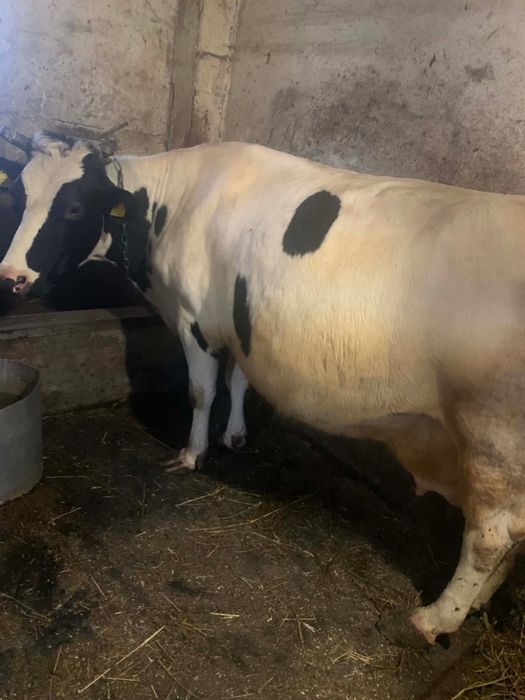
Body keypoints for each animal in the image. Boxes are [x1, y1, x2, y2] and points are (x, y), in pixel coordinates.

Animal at [1, 130, 524, 646]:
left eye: (73, 207)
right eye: (21, 195)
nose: (11, 278)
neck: (173, 204)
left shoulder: (195, 320)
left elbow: (201, 391)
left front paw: (192, 453)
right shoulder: (238, 325)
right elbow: (237, 380)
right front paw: (234, 435)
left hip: (492, 436)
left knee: (489, 538)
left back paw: (436, 618)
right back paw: (477, 603)